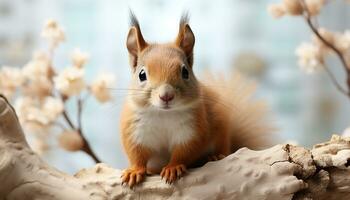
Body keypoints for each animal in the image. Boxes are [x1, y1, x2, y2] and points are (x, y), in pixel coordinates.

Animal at [120, 12, 274, 188]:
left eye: (185, 72)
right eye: (142, 74)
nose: (166, 96)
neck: (163, 114)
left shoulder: (192, 130)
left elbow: (184, 151)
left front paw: (173, 167)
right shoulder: (135, 132)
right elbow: (136, 154)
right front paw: (134, 171)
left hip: (220, 135)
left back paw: (215, 156)